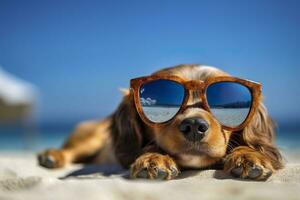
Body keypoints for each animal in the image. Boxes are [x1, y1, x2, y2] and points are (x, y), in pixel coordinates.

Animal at [37, 64, 284, 181]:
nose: (194, 126)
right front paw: (154, 158)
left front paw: (248, 155)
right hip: (91, 137)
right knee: (71, 150)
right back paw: (52, 156)